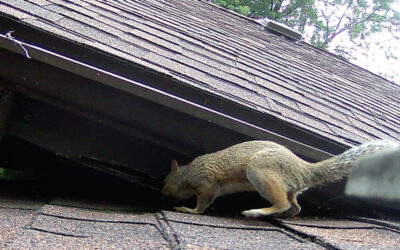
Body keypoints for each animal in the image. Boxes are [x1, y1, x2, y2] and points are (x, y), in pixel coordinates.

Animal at [161, 140, 398, 218]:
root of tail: (303, 169)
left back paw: (256, 212)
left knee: (282, 202)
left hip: (261, 171)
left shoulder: (207, 182)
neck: (189, 172)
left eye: (166, 181)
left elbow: (203, 203)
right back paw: (282, 215)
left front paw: (188, 210)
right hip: (288, 187)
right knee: (295, 206)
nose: (162, 191)